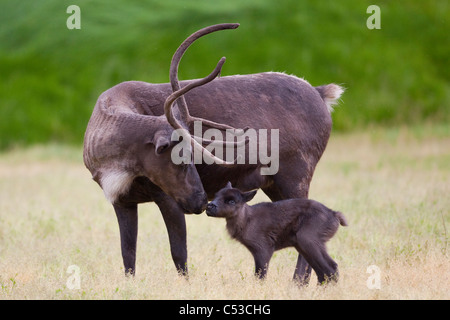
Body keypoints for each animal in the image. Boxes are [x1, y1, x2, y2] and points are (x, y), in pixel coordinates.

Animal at [205, 181, 348, 284]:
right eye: (216, 196)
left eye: (231, 201)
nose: (209, 206)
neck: (247, 221)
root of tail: (335, 215)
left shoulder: (264, 248)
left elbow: (260, 275)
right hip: (303, 245)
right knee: (321, 272)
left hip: (309, 239)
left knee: (331, 267)